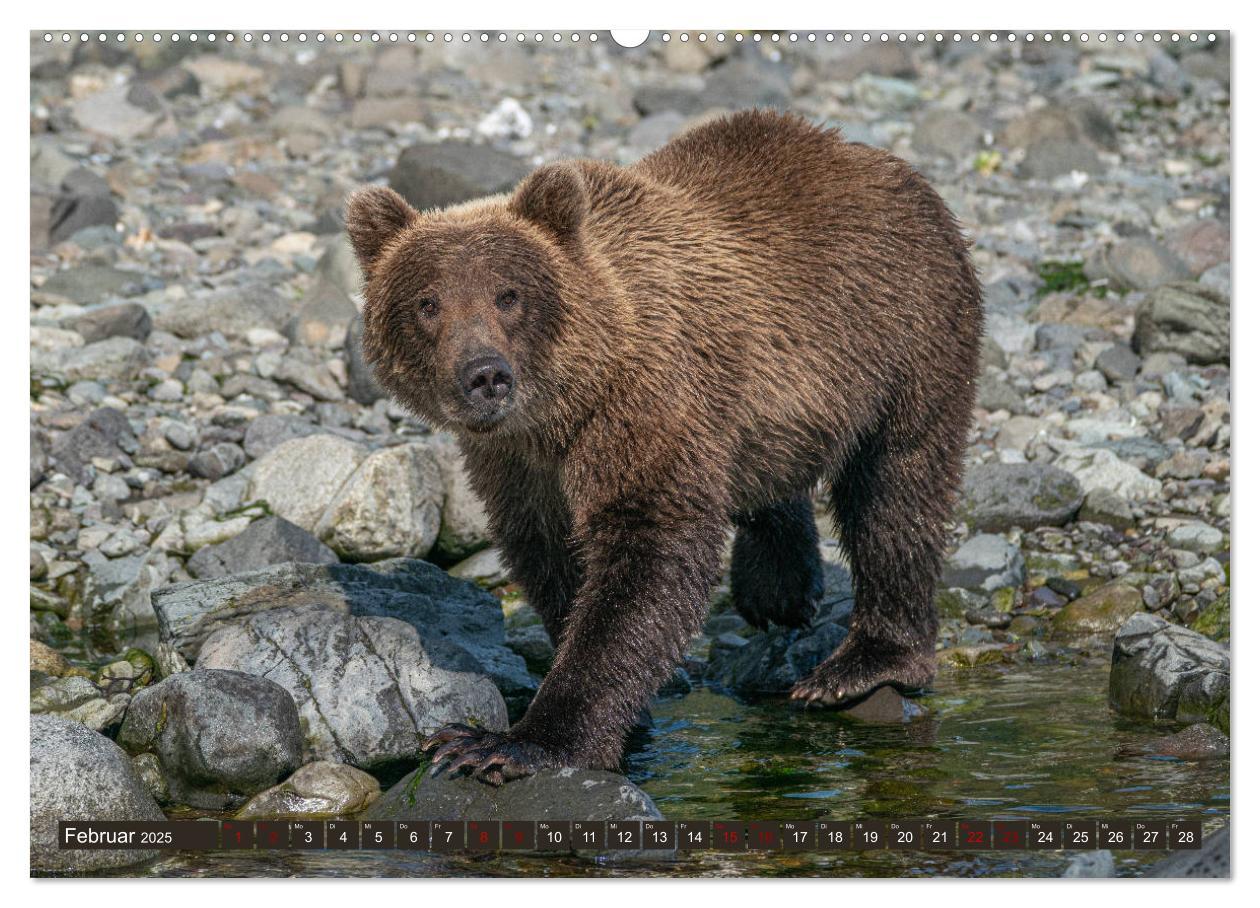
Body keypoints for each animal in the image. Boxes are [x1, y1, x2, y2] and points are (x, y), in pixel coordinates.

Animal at [345, 109, 982, 780]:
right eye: (427, 303)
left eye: (507, 294)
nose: (485, 374)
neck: (564, 406)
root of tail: (875, 160)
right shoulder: (517, 464)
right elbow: (552, 556)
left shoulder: (645, 404)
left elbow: (648, 555)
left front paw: (513, 742)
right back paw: (778, 587)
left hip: (906, 331)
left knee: (896, 489)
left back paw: (863, 663)